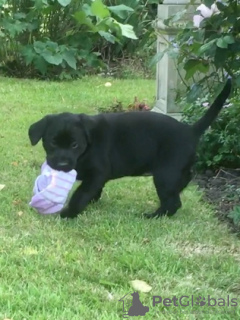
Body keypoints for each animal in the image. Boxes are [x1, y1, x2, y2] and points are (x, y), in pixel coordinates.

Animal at [28, 79, 232, 219]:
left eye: (74, 145)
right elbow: (94, 189)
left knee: (173, 202)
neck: (86, 149)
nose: (62, 164)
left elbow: (82, 193)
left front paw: (69, 212)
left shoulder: (98, 172)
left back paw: (153, 216)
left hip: (165, 174)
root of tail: (190, 130)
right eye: (53, 142)